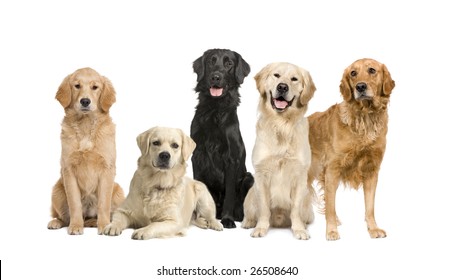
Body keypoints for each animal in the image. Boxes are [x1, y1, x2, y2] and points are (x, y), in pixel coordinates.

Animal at [47, 67, 124, 234]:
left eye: (95, 87)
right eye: (77, 86)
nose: (85, 101)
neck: (86, 124)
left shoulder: (107, 168)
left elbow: (103, 203)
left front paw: (104, 225)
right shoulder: (69, 169)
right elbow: (74, 203)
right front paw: (76, 226)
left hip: (118, 190)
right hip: (57, 190)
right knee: (63, 217)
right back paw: (56, 222)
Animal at [188, 48, 254, 228]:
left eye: (229, 63)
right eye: (211, 61)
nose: (216, 77)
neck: (214, 110)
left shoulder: (231, 158)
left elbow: (229, 194)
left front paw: (227, 219)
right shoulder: (197, 155)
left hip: (249, 177)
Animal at [242, 61, 316, 238]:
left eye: (294, 79)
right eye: (276, 75)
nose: (282, 87)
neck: (282, 125)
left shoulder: (300, 176)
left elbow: (295, 209)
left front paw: (299, 229)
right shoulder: (261, 174)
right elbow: (263, 208)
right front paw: (260, 228)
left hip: (307, 199)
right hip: (250, 194)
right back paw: (249, 222)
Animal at [308, 57, 394, 241]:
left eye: (372, 70)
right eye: (353, 73)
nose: (360, 87)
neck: (364, 118)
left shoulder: (371, 170)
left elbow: (370, 207)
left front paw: (373, 228)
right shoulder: (332, 170)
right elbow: (331, 207)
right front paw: (331, 231)